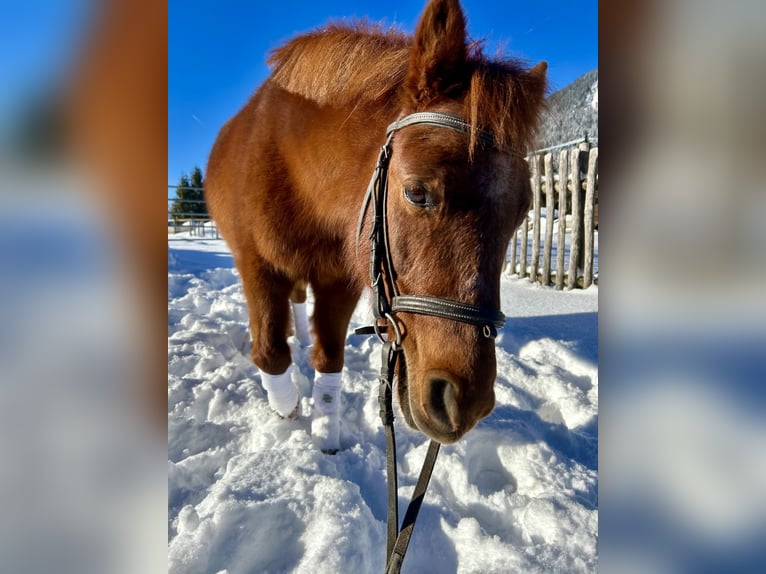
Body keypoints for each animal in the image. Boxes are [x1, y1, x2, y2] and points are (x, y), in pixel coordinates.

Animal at [207, 0, 548, 450]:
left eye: (523, 210)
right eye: (416, 192)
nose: (465, 402)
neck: (291, 172)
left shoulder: (339, 279)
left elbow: (330, 357)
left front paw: (325, 436)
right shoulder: (257, 267)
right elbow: (270, 353)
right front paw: (287, 410)